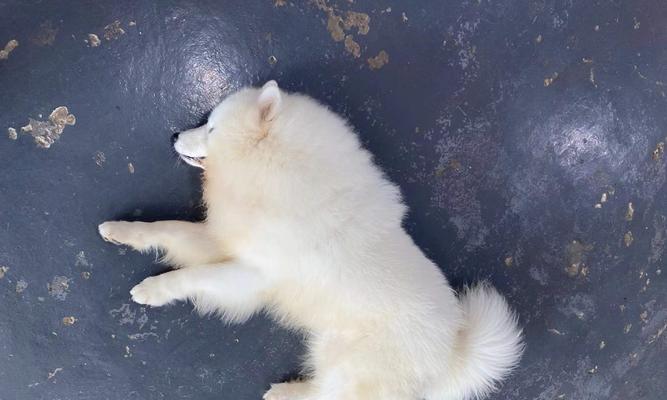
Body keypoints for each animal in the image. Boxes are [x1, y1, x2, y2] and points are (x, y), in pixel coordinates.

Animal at [100, 81, 528, 400]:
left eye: (211, 128)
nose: (174, 134)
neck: (278, 174)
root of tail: (452, 353)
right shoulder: (228, 239)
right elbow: (167, 228)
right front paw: (121, 230)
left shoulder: (252, 276)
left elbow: (191, 277)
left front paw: (152, 290)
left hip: (344, 364)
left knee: (328, 394)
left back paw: (284, 393)